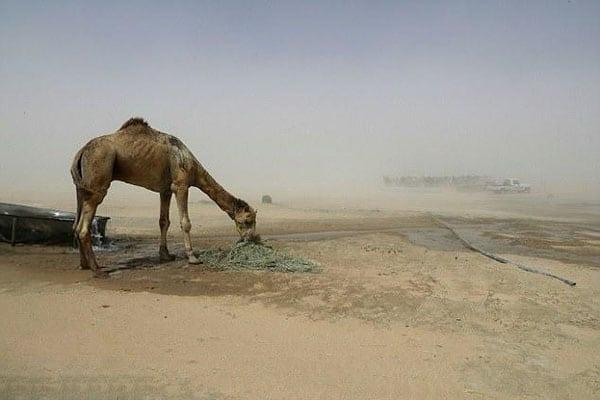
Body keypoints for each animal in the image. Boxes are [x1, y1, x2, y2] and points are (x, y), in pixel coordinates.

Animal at [71, 117, 258, 276]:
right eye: (247, 221)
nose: (252, 239)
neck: (193, 166)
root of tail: (81, 152)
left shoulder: (165, 190)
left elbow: (164, 221)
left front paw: (166, 255)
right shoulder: (180, 185)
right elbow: (185, 223)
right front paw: (192, 257)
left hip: (81, 186)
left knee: (76, 223)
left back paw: (83, 265)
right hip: (99, 174)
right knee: (84, 225)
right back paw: (97, 269)